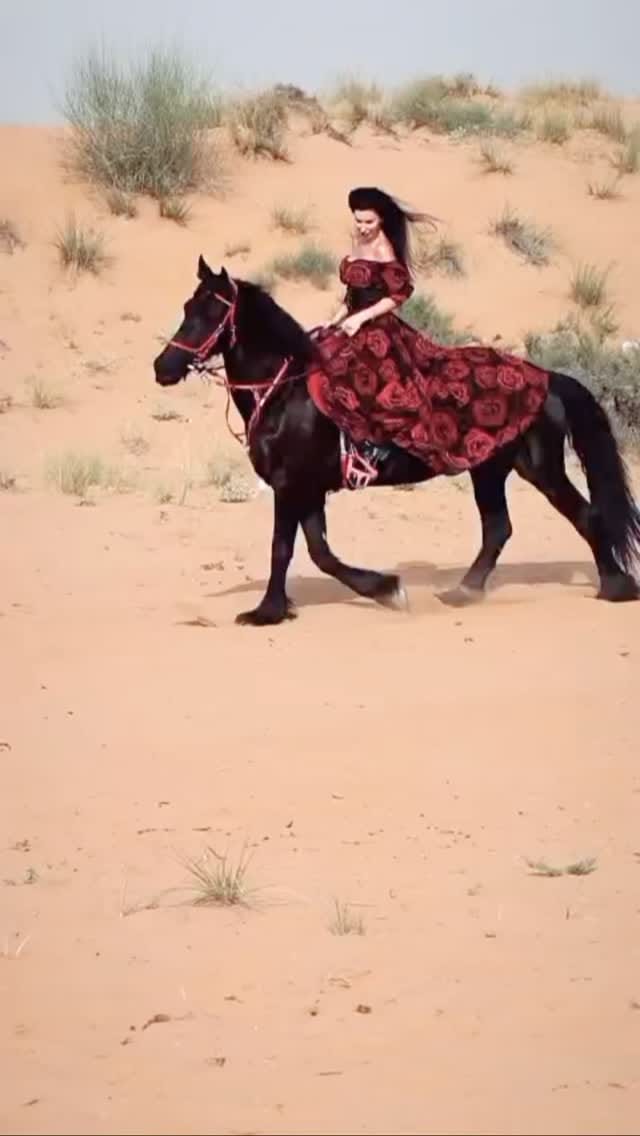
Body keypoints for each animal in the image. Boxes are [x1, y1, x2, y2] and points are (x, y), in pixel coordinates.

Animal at [153, 255, 640, 625]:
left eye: (210, 314)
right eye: (186, 308)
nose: (163, 367)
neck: (283, 390)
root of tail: (549, 377)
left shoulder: (291, 486)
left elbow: (284, 549)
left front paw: (266, 612)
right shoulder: (307, 489)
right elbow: (320, 552)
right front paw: (385, 589)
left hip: (539, 467)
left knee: (585, 516)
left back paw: (616, 587)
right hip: (489, 468)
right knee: (498, 528)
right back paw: (463, 593)